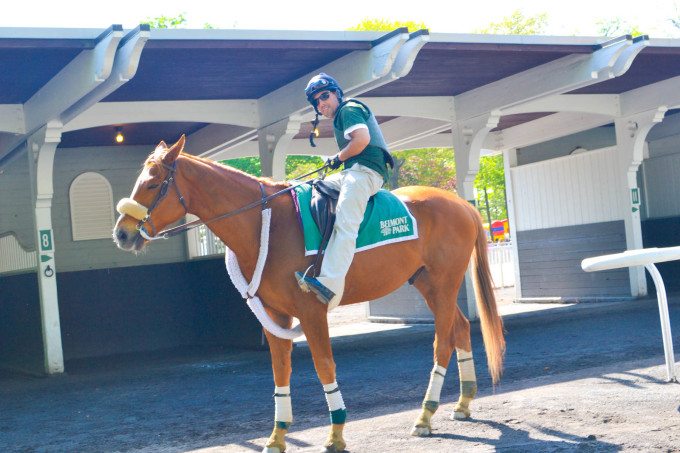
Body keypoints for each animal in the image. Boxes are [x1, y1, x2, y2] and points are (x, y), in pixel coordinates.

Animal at [113, 135, 504, 452]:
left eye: (152, 183)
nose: (122, 233)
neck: (266, 223)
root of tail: (462, 203)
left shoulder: (312, 312)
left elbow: (323, 365)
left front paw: (336, 434)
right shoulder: (276, 315)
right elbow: (280, 370)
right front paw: (277, 436)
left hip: (443, 284)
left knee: (443, 340)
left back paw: (425, 415)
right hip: (429, 285)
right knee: (459, 328)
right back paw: (463, 403)